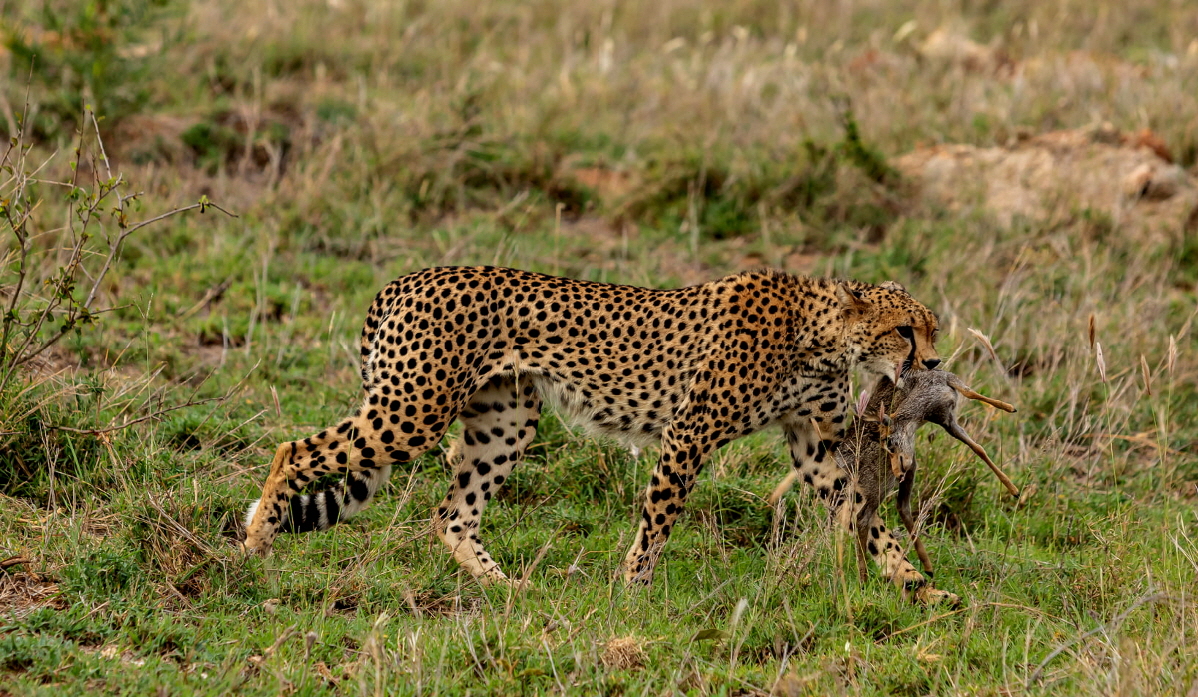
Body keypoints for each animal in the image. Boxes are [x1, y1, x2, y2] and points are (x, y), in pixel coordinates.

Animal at [238, 264, 939, 598]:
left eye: (931, 328)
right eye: (906, 330)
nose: (933, 365)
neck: (820, 333)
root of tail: (405, 279)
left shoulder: (816, 443)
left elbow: (864, 512)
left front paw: (915, 583)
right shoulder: (688, 434)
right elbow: (658, 521)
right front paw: (634, 593)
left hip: (505, 421)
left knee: (452, 514)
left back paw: (510, 590)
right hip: (413, 410)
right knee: (291, 448)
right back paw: (256, 543)